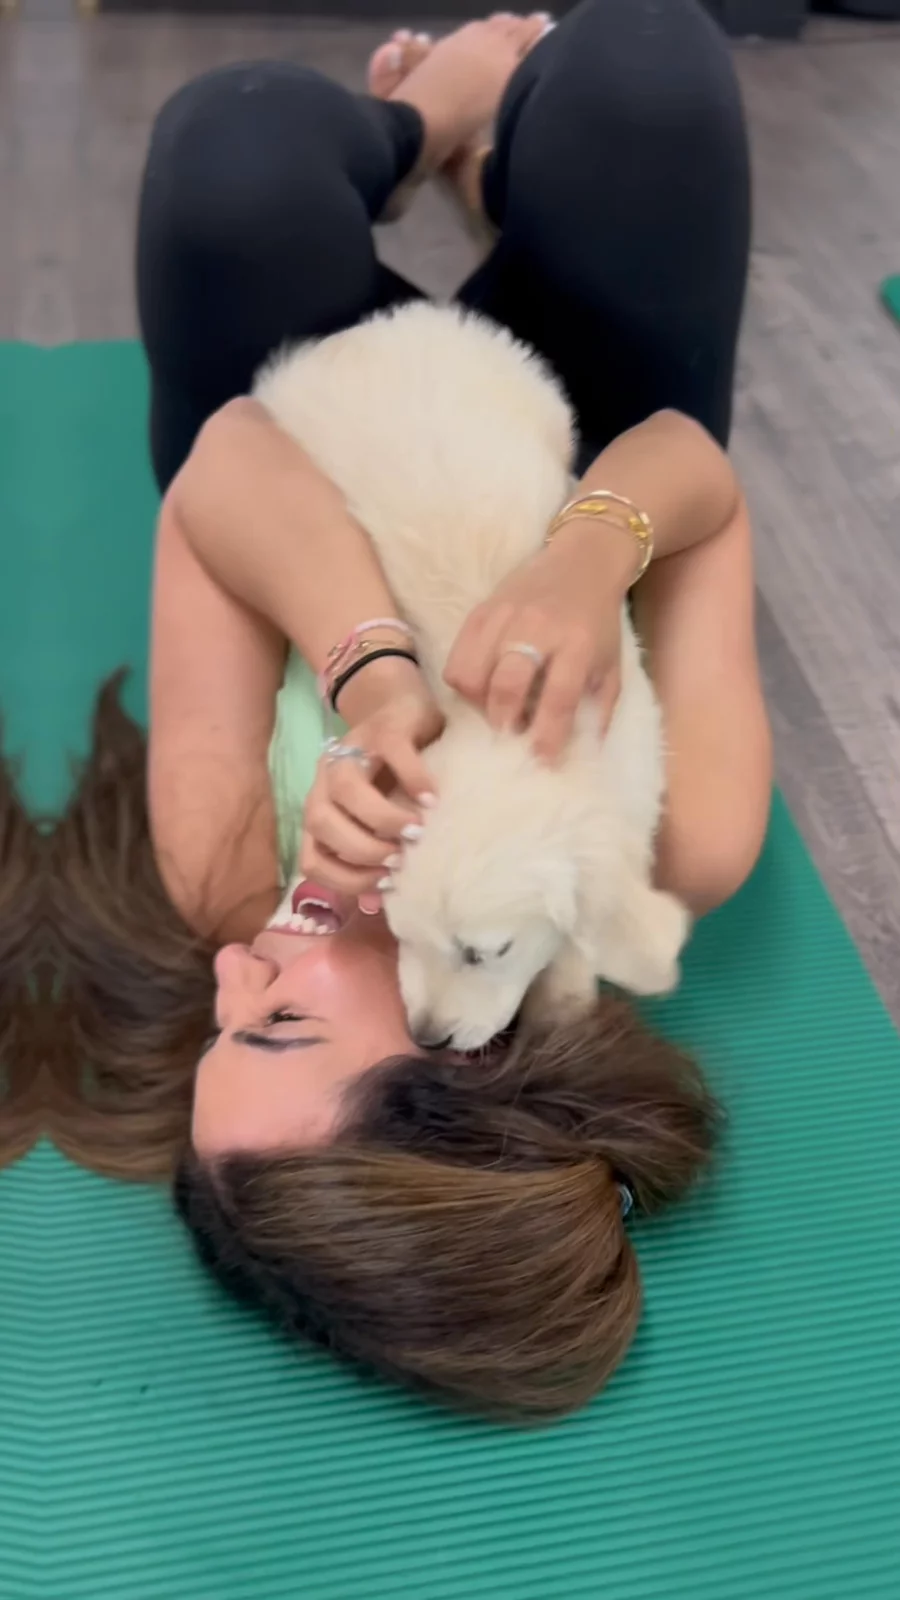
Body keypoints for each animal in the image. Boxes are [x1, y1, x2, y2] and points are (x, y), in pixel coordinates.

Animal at [255, 302, 689, 1050]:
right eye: (398, 934)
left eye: (486, 952)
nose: (425, 1037)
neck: (505, 728)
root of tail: (388, 323)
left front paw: (565, 994)